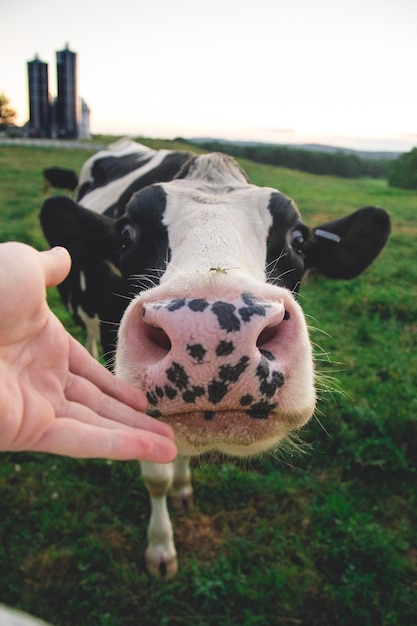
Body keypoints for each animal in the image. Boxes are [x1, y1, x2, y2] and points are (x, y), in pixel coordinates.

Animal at [39, 138, 390, 576]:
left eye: (298, 238)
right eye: (126, 232)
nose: (207, 332)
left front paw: (182, 486)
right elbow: (155, 476)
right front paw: (161, 547)